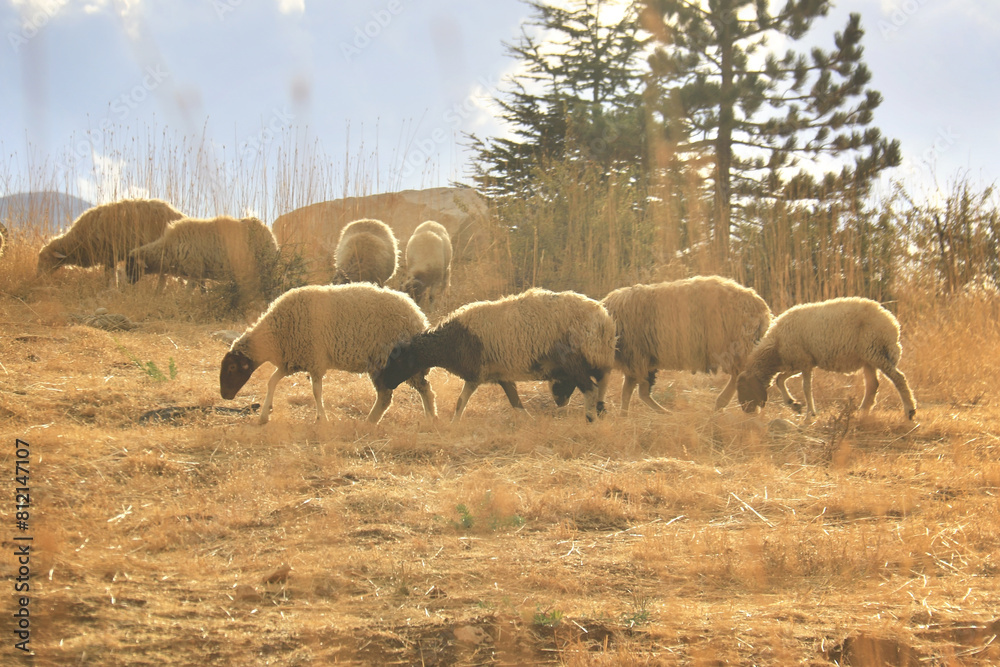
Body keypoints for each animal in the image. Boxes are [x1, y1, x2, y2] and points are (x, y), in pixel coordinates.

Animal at [126, 215, 280, 299]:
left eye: (131, 265)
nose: (128, 282)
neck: (169, 247)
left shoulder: (194, 269)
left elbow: (189, 291)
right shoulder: (200, 272)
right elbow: (202, 291)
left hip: (265, 266)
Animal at [219, 283, 437, 425]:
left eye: (232, 367)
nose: (224, 396)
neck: (275, 334)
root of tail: (418, 316)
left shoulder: (314, 361)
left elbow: (316, 391)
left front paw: (321, 418)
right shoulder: (292, 362)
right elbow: (272, 382)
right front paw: (265, 415)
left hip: (390, 361)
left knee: (410, 391)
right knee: (402, 392)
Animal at [376, 288, 616, 422]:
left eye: (396, 361)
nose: (386, 383)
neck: (448, 342)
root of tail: (604, 319)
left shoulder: (476, 374)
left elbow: (460, 402)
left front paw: (453, 425)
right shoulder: (502, 375)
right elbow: (515, 402)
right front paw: (529, 421)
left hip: (576, 361)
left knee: (591, 389)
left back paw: (590, 418)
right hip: (598, 361)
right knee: (602, 385)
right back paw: (600, 413)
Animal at [551, 276, 772, 413]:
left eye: (562, 373)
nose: (558, 402)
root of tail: (763, 309)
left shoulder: (636, 358)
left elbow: (631, 392)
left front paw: (629, 415)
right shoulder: (641, 361)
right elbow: (635, 392)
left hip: (736, 347)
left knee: (741, 376)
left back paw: (722, 404)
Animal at [736, 297, 917, 420]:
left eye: (744, 389)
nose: (747, 412)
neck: (775, 348)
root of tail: (893, 324)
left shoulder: (804, 361)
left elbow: (805, 387)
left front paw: (810, 413)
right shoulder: (799, 362)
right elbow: (780, 379)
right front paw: (794, 405)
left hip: (876, 351)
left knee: (899, 379)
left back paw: (909, 411)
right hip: (868, 357)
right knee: (873, 385)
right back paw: (862, 412)